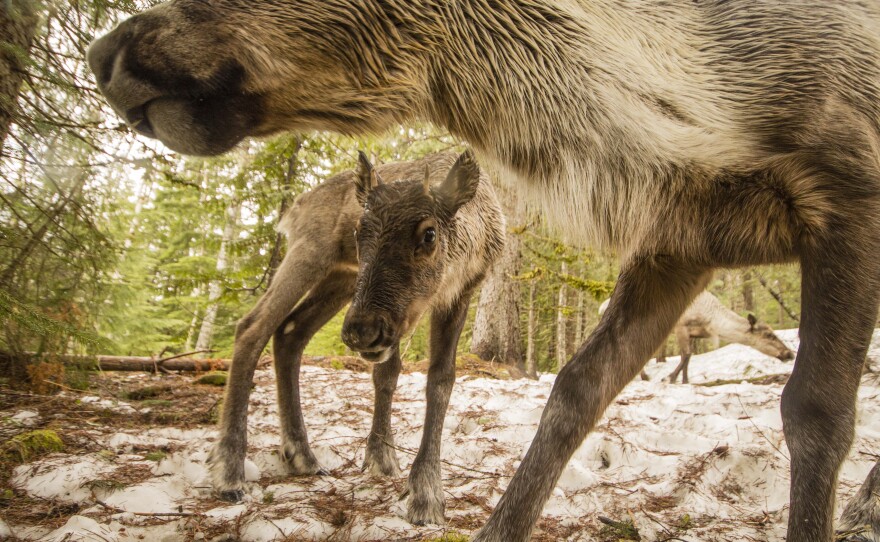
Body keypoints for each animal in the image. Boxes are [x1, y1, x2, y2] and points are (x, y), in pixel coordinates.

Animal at [202, 151, 498, 528]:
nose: (360, 332)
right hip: (310, 256)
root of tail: (295, 208)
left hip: (341, 280)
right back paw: (229, 471)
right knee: (252, 327)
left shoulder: (458, 293)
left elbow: (434, 380)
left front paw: (400, 470)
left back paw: (302, 455)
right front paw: (417, 487)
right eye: (359, 230)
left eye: (429, 234)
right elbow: (390, 373)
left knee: (290, 332)